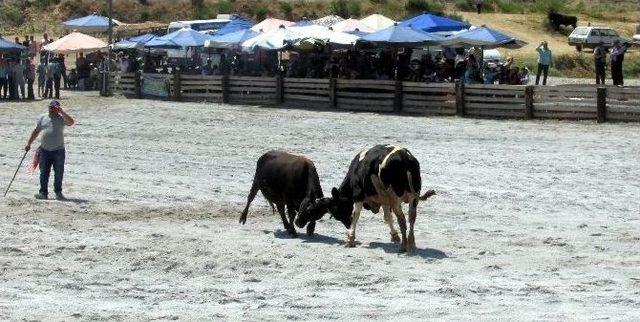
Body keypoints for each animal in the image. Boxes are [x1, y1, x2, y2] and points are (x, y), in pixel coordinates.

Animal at [296, 145, 436, 253]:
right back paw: (411, 243)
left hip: (396, 199)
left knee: (402, 220)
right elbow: (387, 217)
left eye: (336, 210)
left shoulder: (359, 196)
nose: (347, 224)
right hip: (413, 198)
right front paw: (394, 236)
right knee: (412, 218)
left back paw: (403, 246)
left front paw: (350, 239)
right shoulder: (385, 199)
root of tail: (405, 156)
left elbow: (356, 214)